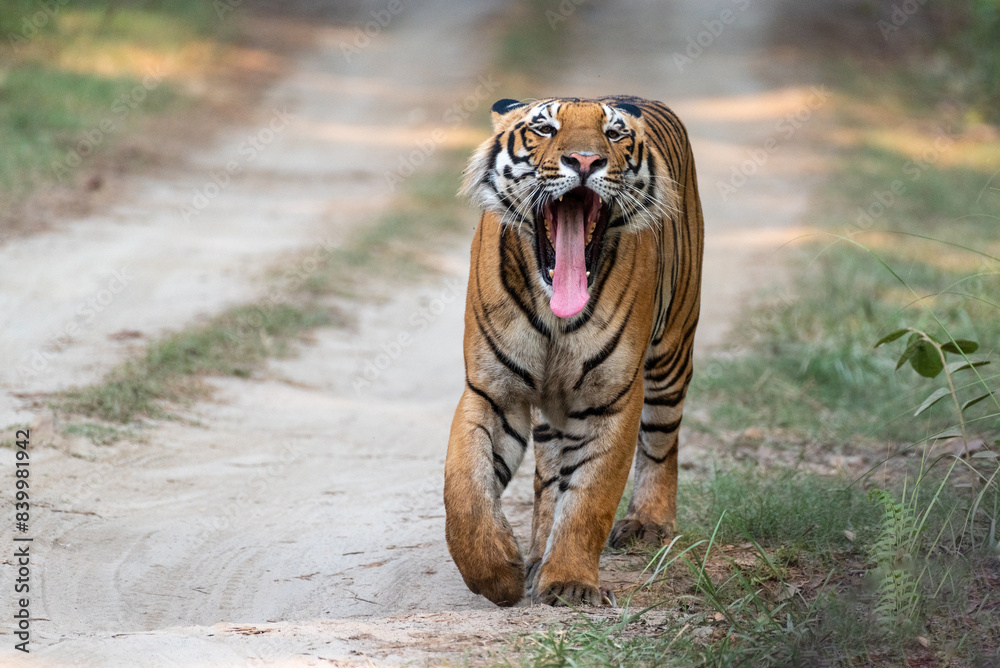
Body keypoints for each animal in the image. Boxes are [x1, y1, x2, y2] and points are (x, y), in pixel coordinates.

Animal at [443, 96, 703, 607]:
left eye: (614, 135)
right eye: (544, 128)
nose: (585, 161)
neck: (555, 314)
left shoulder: (612, 398)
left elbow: (589, 498)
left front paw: (569, 582)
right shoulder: (492, 391)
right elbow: (464, 489)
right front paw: (497, 572)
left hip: (670, 353)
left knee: (662, 442)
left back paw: (648, 524)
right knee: (547, 476)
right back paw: (534, 554)